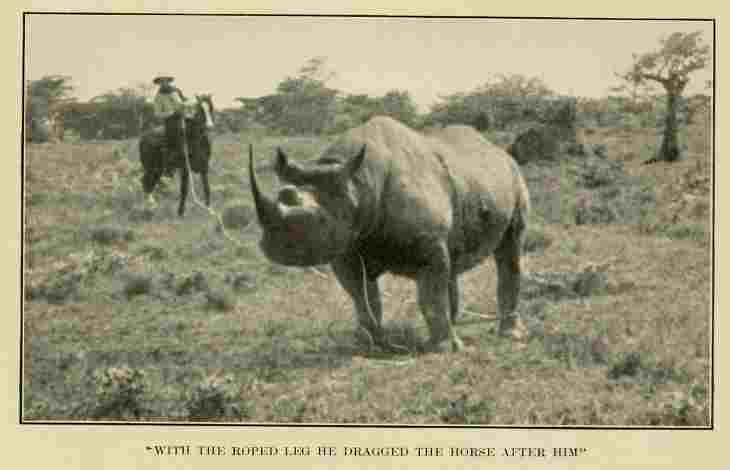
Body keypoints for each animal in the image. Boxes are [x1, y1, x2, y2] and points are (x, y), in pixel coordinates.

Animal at [249, 116, 530, 352]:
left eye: (321, 221)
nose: (284, 250)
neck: (359, 183)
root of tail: (498, 150)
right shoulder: (347, 248)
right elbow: (363, 297)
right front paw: (370, 345)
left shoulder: (427, 242)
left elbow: (430, 295)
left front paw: (443, 349)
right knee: (452, 258)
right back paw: (456, 325)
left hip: (514, 174)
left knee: (510, 247)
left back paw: (510, 335)